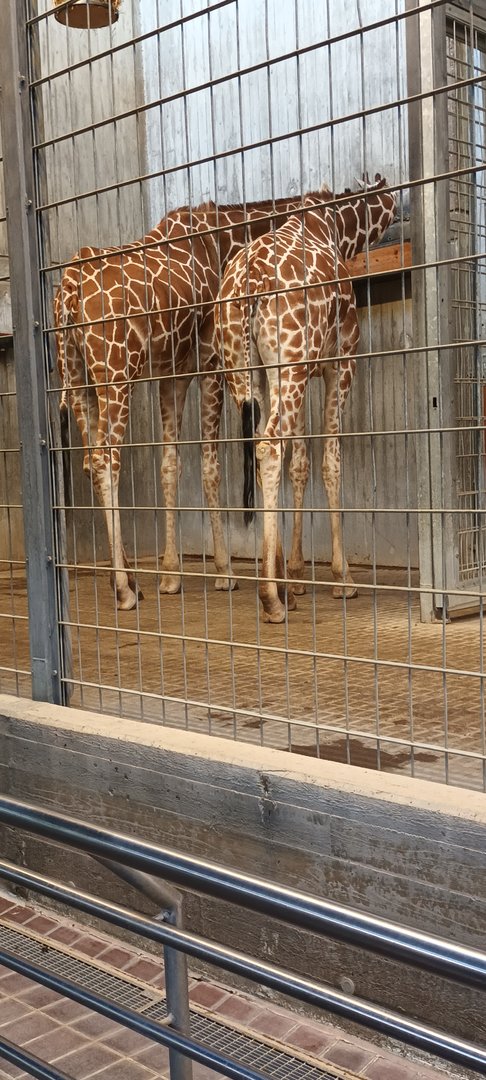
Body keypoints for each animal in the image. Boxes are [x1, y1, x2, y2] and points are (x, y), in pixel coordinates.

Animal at [54, 195, 307, 610]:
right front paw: (225, 571)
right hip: (115, 374)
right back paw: (124, 589)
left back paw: (131, 580)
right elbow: (212, 465)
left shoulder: (171, 375)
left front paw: (171, 575)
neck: (225, 238)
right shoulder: (211, 364)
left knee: (91, 462)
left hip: (76, 379)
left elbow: (171, 464)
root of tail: (69, 289)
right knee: (106, 459)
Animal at [211, 176, 397, 623]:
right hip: (289, 365)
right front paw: (342, 578)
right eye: (391, 201)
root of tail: (250, 287)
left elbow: (300, 465)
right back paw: (270, 599)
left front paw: (294, 575)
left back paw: (279, 590)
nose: (398, 212)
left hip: (246, 371)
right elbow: (330, 461)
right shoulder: (338, 362)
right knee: (269, 446)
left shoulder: (288, 372)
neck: (333, 226)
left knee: (261, 448)